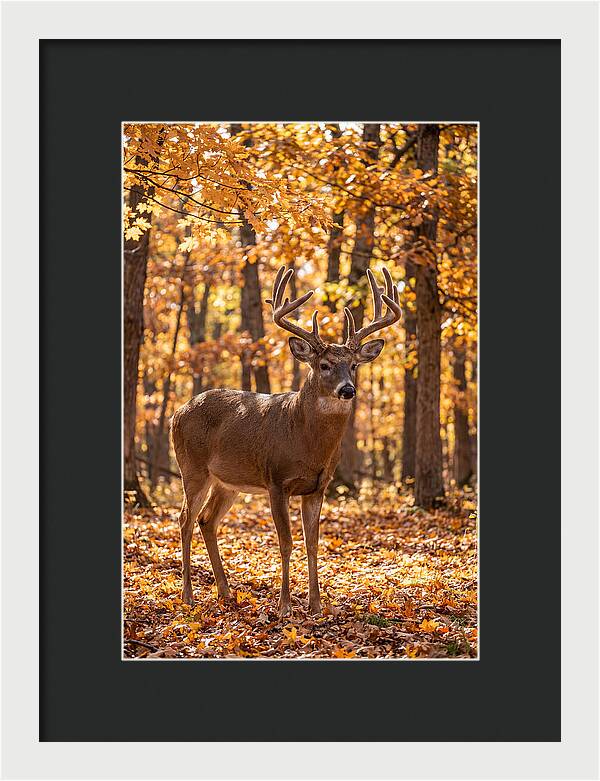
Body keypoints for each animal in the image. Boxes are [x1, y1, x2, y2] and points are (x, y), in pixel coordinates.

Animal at [170, 265, 401, 618]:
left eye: (353, 365)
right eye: (324, 365)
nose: (348, 389)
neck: (306, 442)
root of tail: (177, 412)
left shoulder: (318, 487)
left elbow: (312, 543)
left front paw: (316, 605)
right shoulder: (276, 480)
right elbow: (286, 542)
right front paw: (284, 606)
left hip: (228, 482)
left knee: (206, 520)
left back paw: (225, 593)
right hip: (192, 468)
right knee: (185, 518)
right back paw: (188, 596)